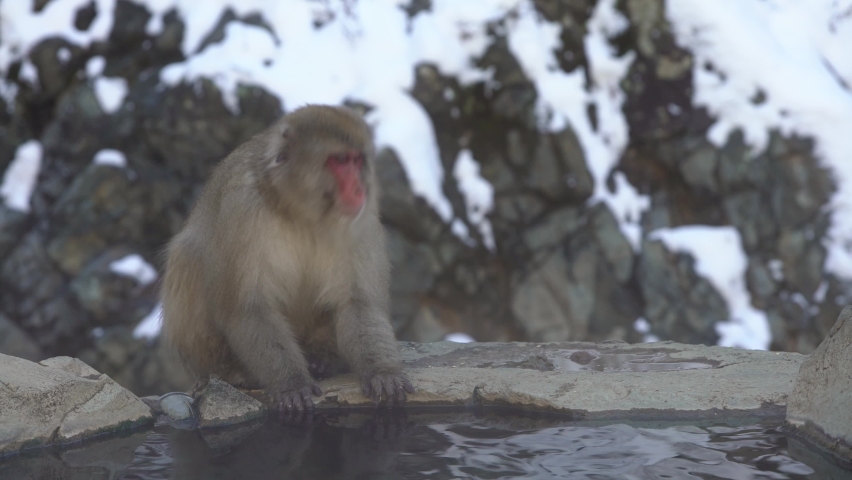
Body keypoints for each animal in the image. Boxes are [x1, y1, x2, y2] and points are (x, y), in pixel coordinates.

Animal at [160, 104, 414, 415]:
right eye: (340, 161)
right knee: (187, 256)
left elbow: (357, 301)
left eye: (356, 160)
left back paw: (324, 359)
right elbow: (249, 308)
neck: (298, 210)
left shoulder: (361, 215)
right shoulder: (242, 209)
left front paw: (382, 372)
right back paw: (232, 370)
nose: (359, 189)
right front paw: (291, 383)